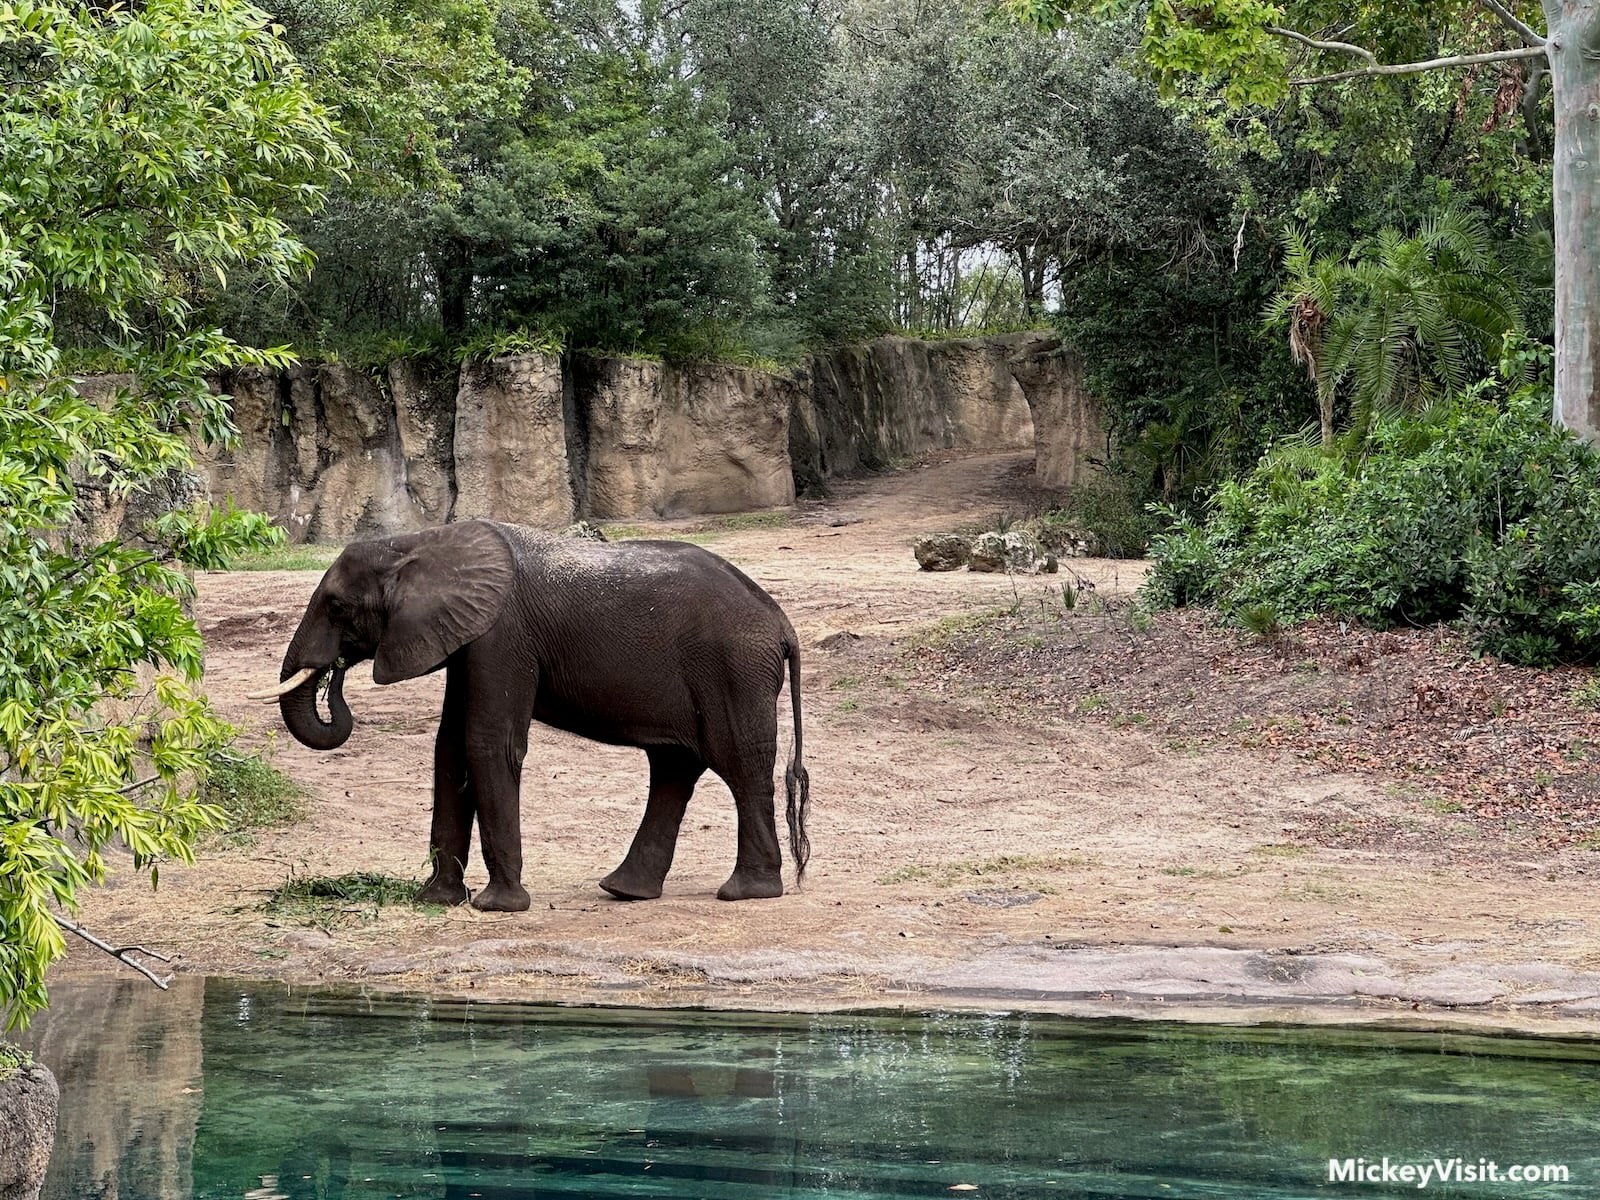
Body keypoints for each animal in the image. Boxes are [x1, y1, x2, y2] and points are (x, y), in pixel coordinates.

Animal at [248, 520, 809, 912]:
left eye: (338, 607)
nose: (336, 677)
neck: (419, 542)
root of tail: (783, 623)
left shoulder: (502, 636)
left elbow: (487, 743)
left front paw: (497, 907)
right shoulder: (467, 638)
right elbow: (450, 748)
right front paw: (437, 901)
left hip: (734, 669)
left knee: (738, 765)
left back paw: (746, 893)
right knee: (675, 767)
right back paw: (624, 891)